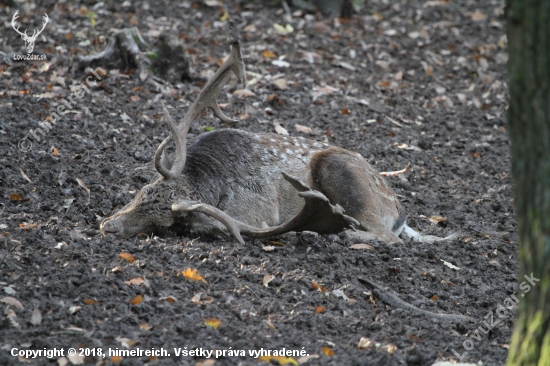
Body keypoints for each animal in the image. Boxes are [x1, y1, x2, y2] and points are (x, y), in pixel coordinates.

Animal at [100, 22, 458, 246]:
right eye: (143, 192)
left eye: (163, 222)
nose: (107, 225)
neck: (208, 175)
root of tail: (401, 213)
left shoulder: (258, 212)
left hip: (342, 173)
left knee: (387, 236)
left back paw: (331, 234)